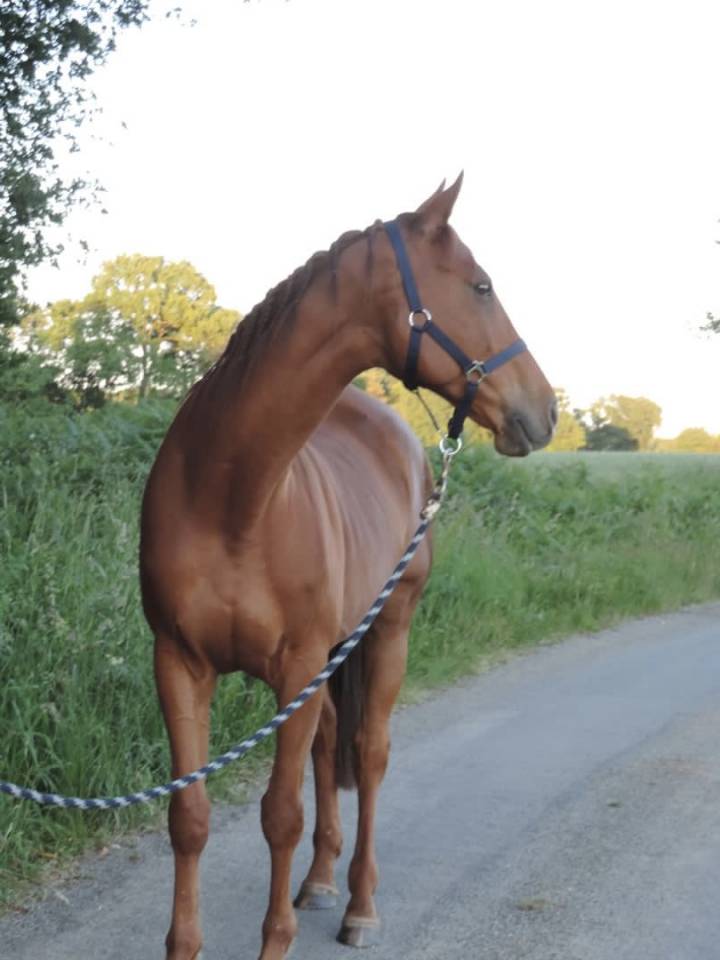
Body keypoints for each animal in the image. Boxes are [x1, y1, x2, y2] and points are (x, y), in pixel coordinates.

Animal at [139, 173, 556, 960]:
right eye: (481, 285)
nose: (544, 410)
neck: (234, 499)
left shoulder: (297, 665)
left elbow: (280, 814)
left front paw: (278, 940)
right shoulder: (180, 662)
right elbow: (191, 818)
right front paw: (185, 942)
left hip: (389, 629)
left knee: (367, 753)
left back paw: (359, 905)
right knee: (333, 741)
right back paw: (321, 881)